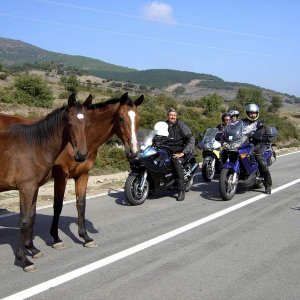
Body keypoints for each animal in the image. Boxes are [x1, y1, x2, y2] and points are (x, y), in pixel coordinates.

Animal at [0, 92, 144, 250]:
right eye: (121, 119)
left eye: (139, 119)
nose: (134, 151)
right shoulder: (61, 176)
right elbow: (58, 205)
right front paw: (56, 238)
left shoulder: (83, 175)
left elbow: (81, 204)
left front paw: (85, 237)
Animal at [0, 95, 90, 272]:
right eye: (69, 123)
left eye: (87, 123)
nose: (81, 155)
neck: (34, 147)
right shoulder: (26, 189)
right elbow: (24, 220)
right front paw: (24, 259)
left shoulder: (34, 188)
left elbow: (32, 216)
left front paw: (33, 250)